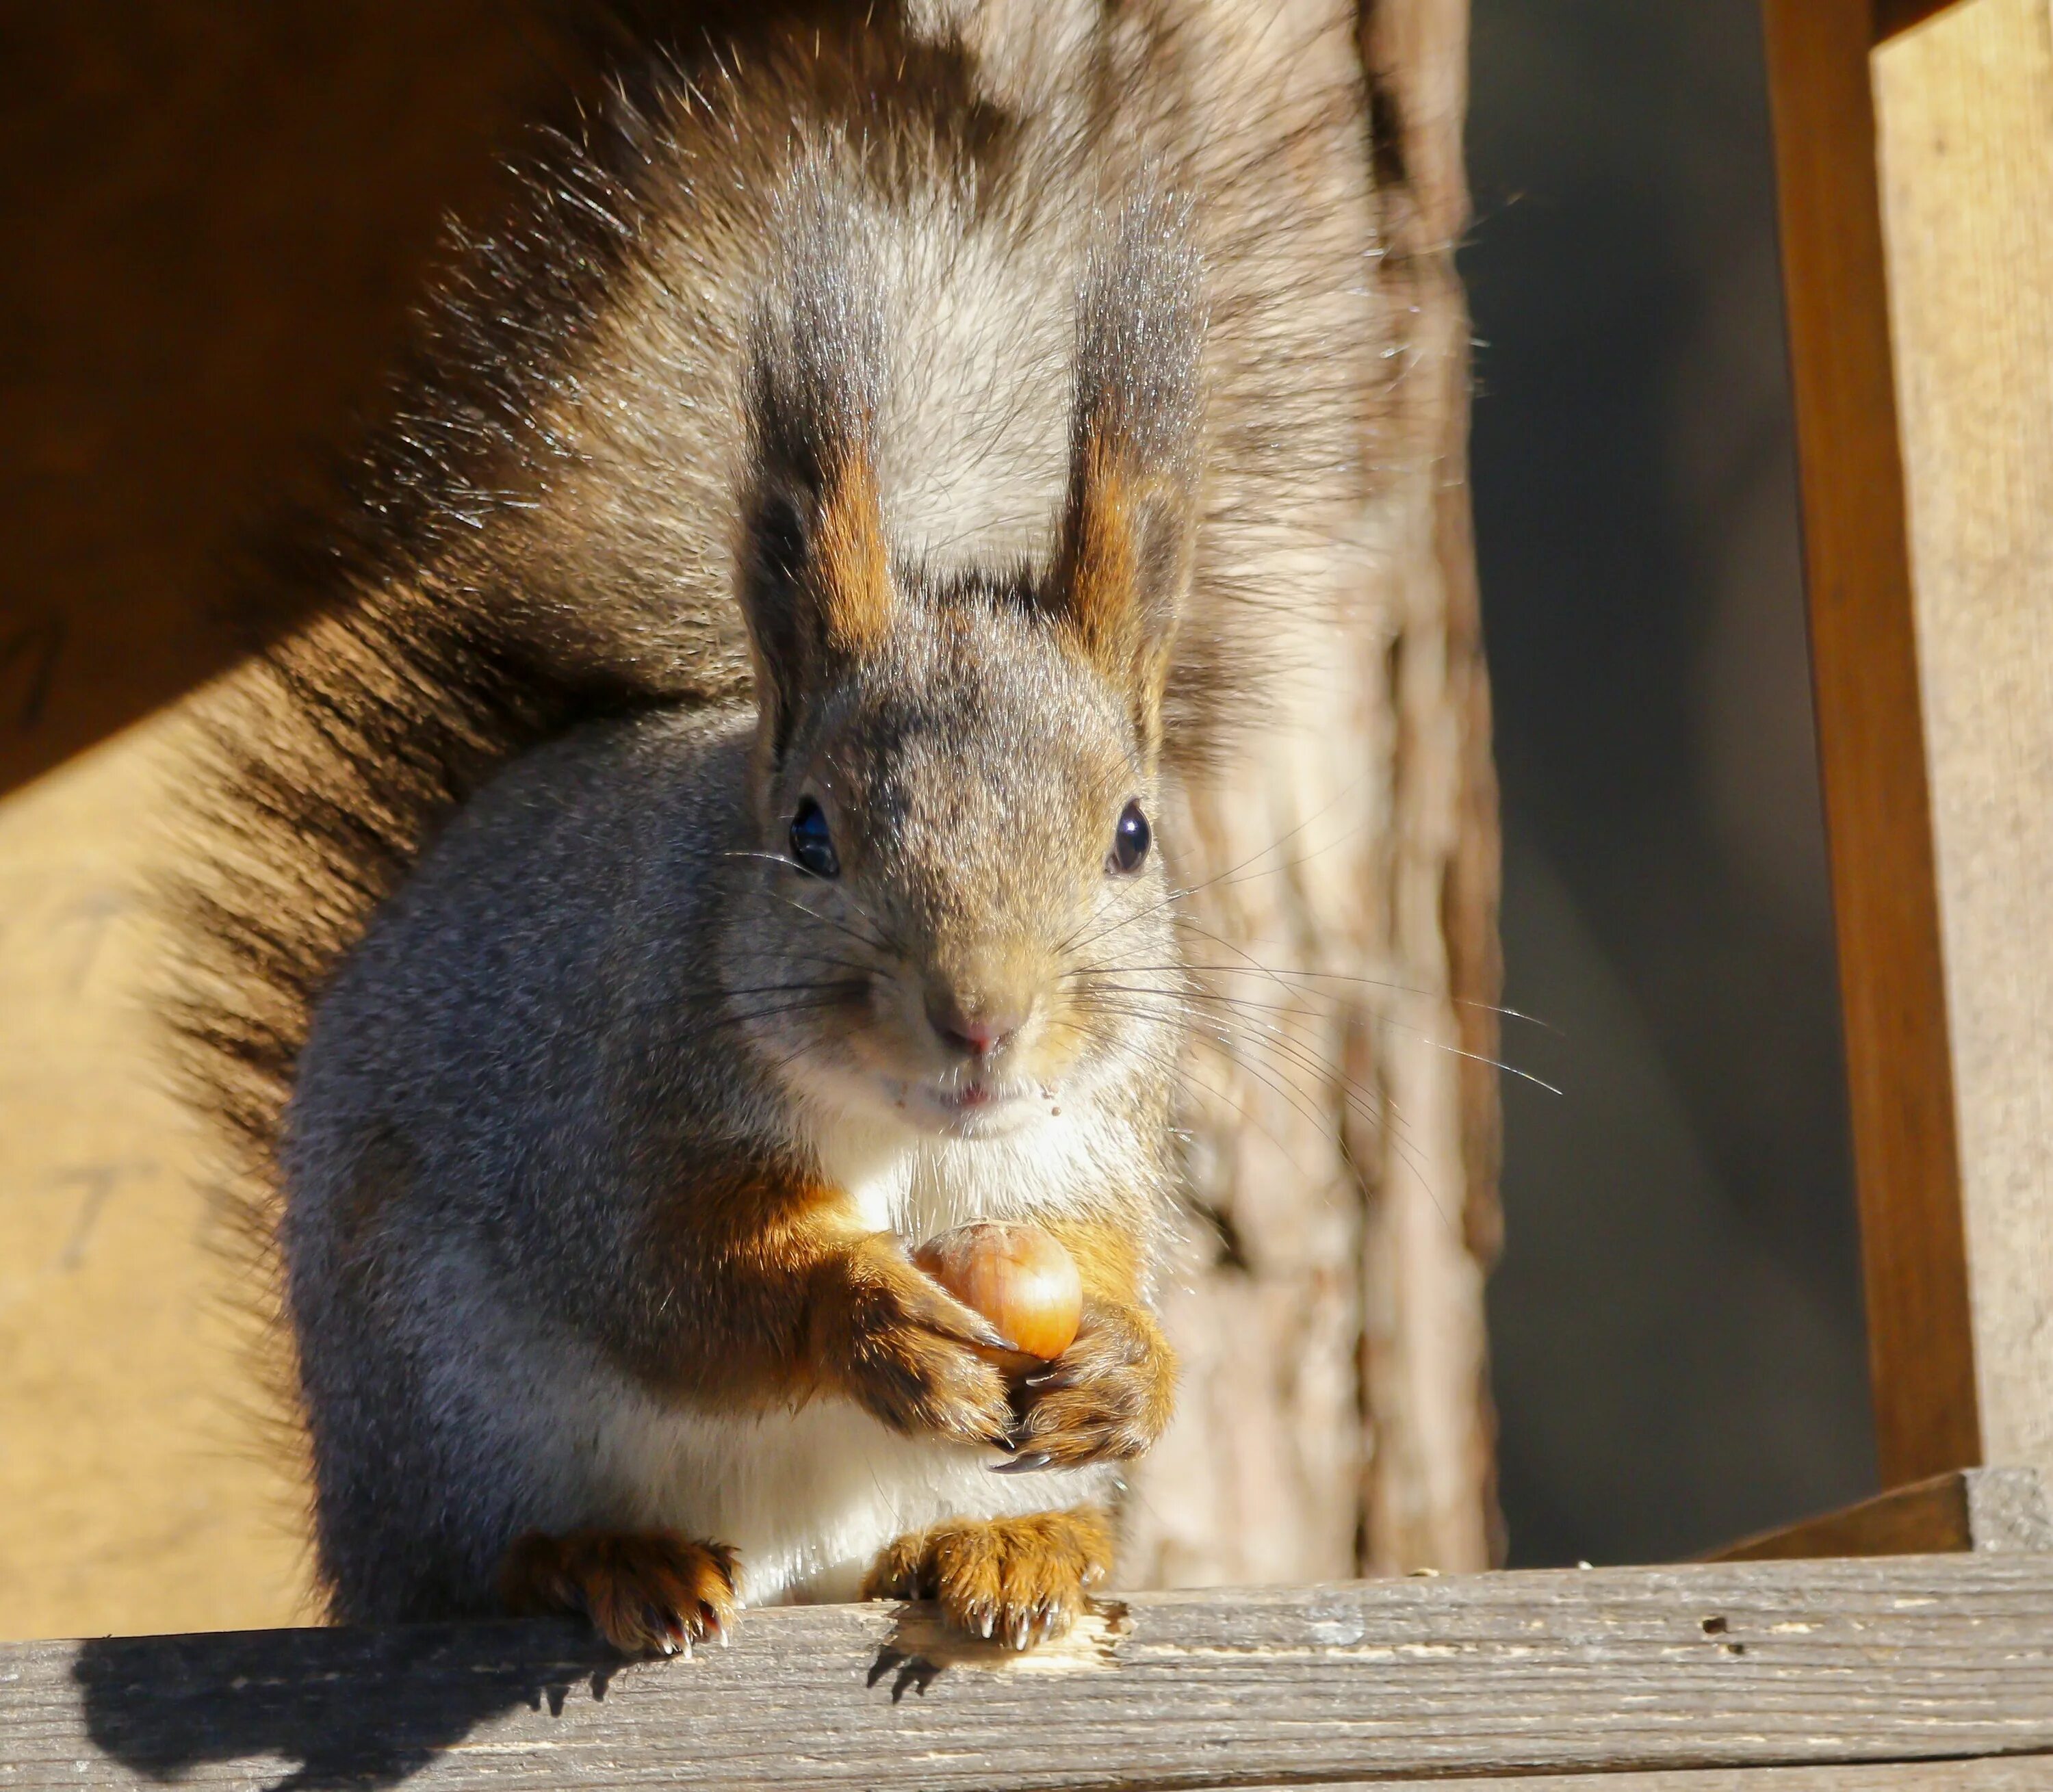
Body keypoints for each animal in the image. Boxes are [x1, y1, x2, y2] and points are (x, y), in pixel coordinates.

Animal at [168, 3, 1388, 1650]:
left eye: (1134, 833)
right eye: (810, 833)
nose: (981, 1017)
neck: (913, 1133)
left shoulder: (1094, 1140)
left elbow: (1111, 1254)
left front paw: (1133, 1365)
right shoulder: (605, 1109)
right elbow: (678, 1279)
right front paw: (863, 1314)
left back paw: (1016, 1545)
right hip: (439, 1409)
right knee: (487, 1554)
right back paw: (602, 1558)